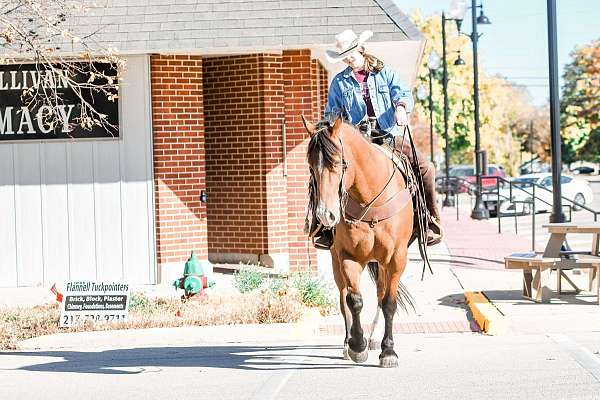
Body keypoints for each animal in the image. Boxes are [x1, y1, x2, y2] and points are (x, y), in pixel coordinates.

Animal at [302, 114, 414, 368]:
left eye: (337, 164)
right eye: (311, 166)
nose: (325, 215)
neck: (370, 199)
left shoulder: (397, 258)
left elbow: (389, 302)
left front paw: (388, 351)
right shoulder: (348, 256)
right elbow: (354, 300)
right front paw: (357, 344)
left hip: (382, 263)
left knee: (381, 296)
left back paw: (374, 338)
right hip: (337, 261)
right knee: (343, 296)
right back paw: (348, 342)